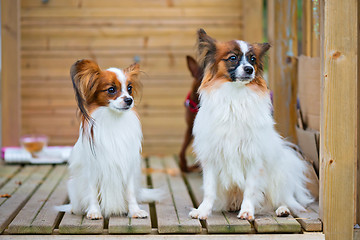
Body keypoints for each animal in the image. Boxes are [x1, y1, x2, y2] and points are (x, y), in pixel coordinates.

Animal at [60, 58, 160, 219]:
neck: (113, 119)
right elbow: (92, 192)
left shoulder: (127, 166)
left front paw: (135, 211)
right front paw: (94, 211)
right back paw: (75, 209)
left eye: (130, 88)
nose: (129, 100)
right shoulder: (92, 169)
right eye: (111, 90)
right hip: (73, 185)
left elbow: (130, 192)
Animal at [188, 30, 312, 221]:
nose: (249, 69)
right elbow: (209, 190)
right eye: (233, 57)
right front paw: (203, 211)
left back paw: (282, 209)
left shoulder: (254, 157)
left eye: (253, 59)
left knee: (283, 200)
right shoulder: (212, 157)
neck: (235, 96)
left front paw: (247, 211)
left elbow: (251, 189)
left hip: (278, 179)